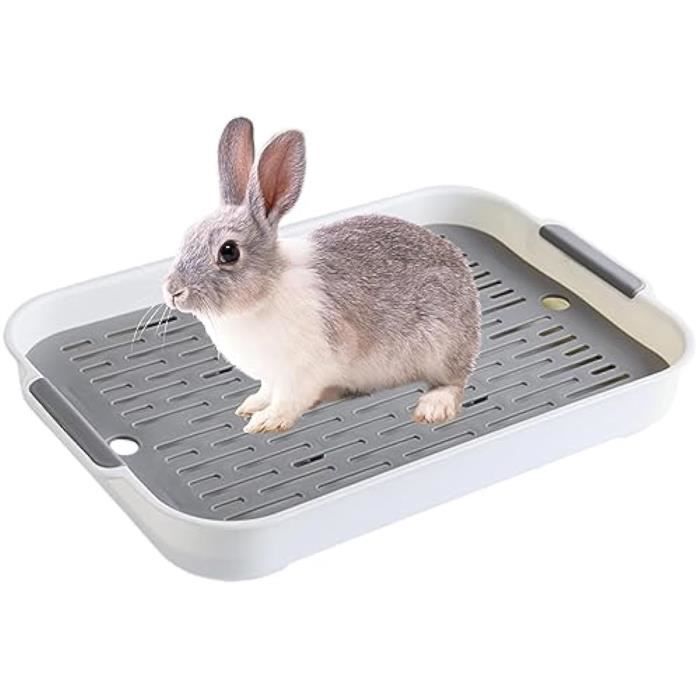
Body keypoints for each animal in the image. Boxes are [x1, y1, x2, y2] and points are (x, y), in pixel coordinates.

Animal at [163, 117, 481, 433]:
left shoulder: (301, 371)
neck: (267, 290)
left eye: (228, 251)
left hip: (441, 349)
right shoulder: (272, 376)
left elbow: (287, 400)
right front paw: (250, 406)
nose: (172, 291)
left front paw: (265, 422)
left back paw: (433, 407)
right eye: (187, 235)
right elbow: (266, 391)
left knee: (454, 382)